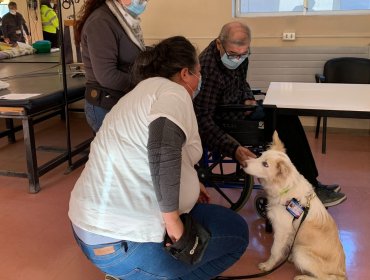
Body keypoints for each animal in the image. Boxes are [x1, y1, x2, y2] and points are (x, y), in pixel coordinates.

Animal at [244, 132, 346, 278]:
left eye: (265, 164)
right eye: (261, 155)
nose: (244, 163)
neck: (285, 189)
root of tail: (342, 272)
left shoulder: (281, 230)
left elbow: (274, 251)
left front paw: (268, 266)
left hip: (300, 253)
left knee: (327, 277)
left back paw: (302, 277)